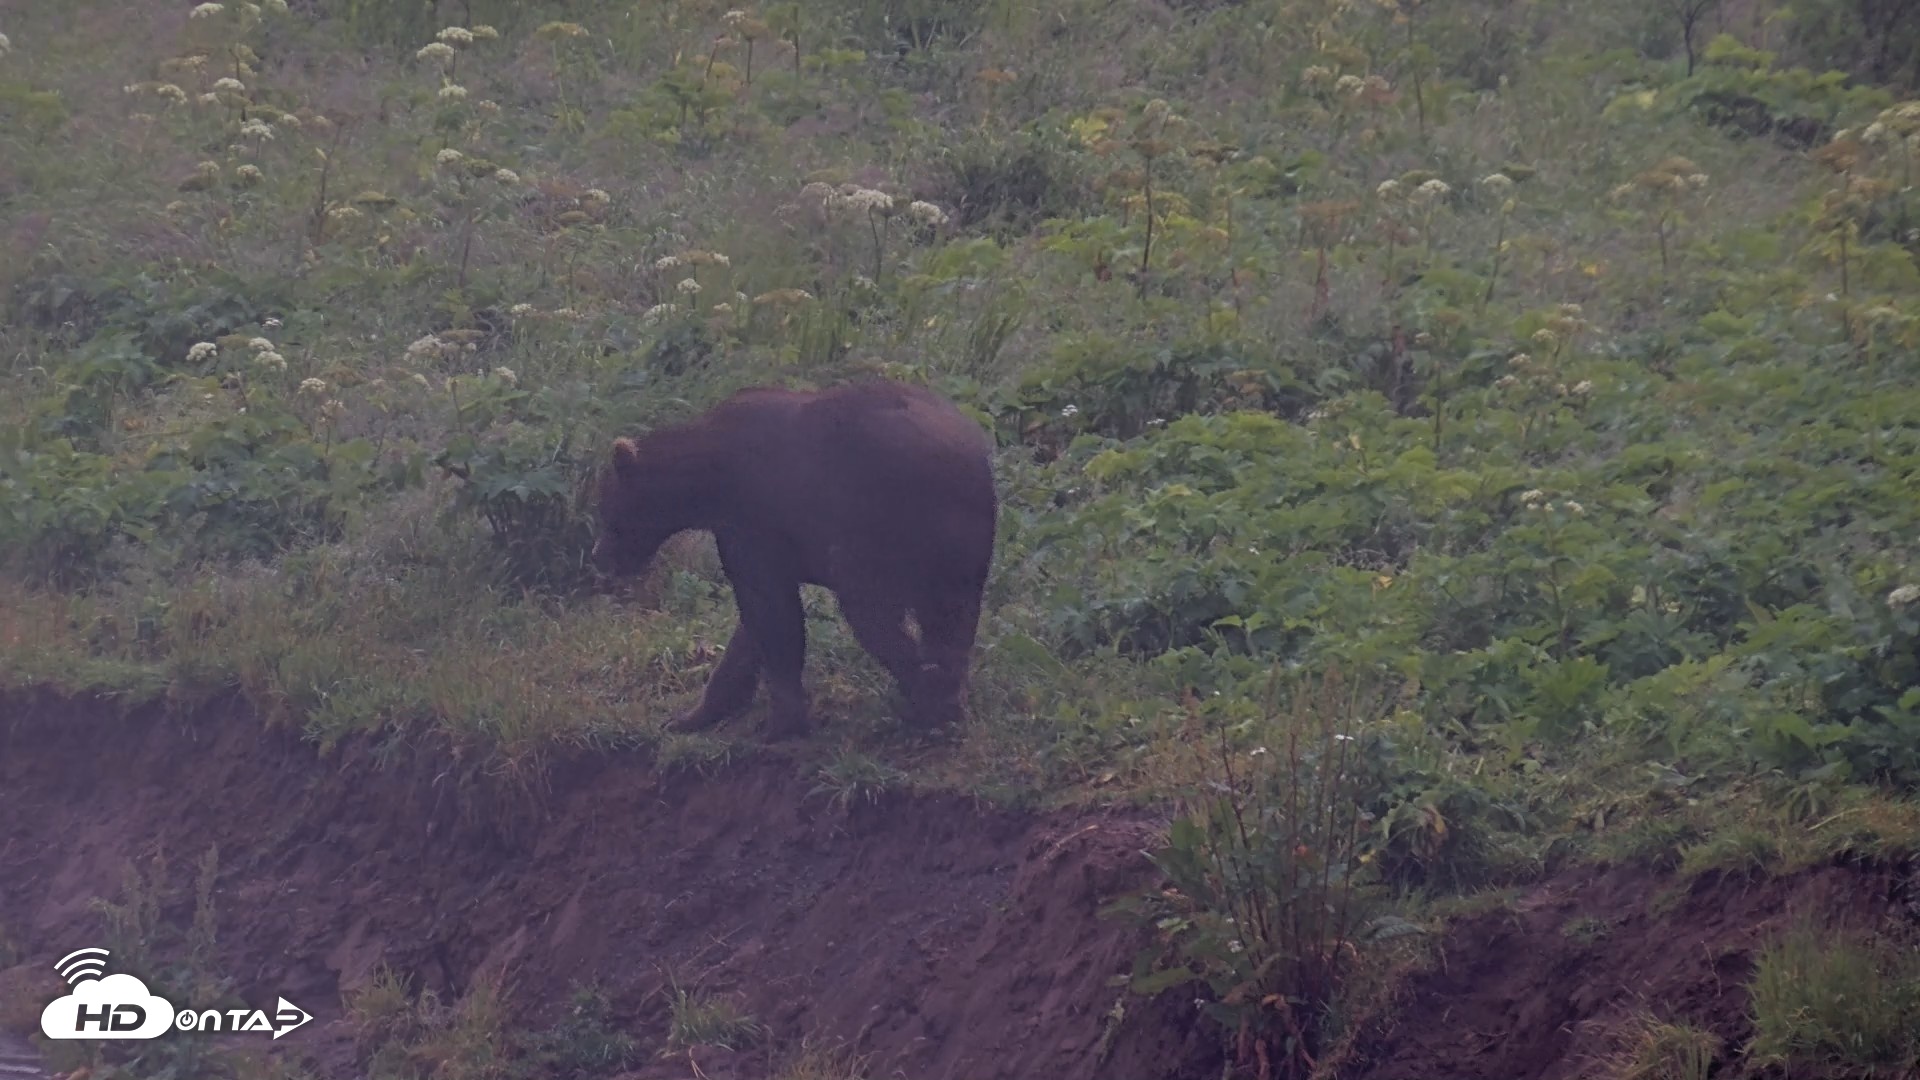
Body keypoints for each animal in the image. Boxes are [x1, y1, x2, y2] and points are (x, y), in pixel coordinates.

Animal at [592, 378, 999, 739]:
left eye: (606, 508)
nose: (599, 556)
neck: (704, 487)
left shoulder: (752, 523)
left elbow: (774, 618)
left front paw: (780, 723)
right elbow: (752, 627)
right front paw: (695, 714)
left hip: (881, 525)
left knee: (871, 611)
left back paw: (931, 701)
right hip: (960, 548)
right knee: (949, 621)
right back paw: (946, 694)